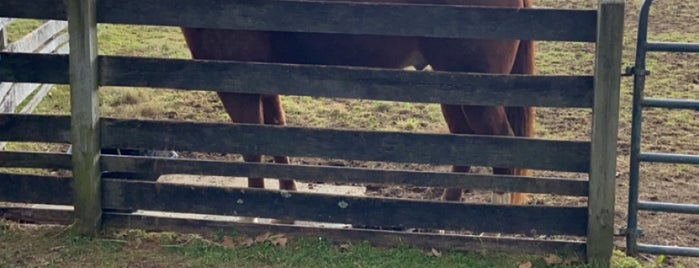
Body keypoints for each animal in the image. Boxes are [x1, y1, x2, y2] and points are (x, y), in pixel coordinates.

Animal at [180, 0, 536, 205]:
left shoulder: (236, 83)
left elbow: (251, 147)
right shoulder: (263, 78)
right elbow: (275, 134)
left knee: (500, 145)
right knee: (467, 142)